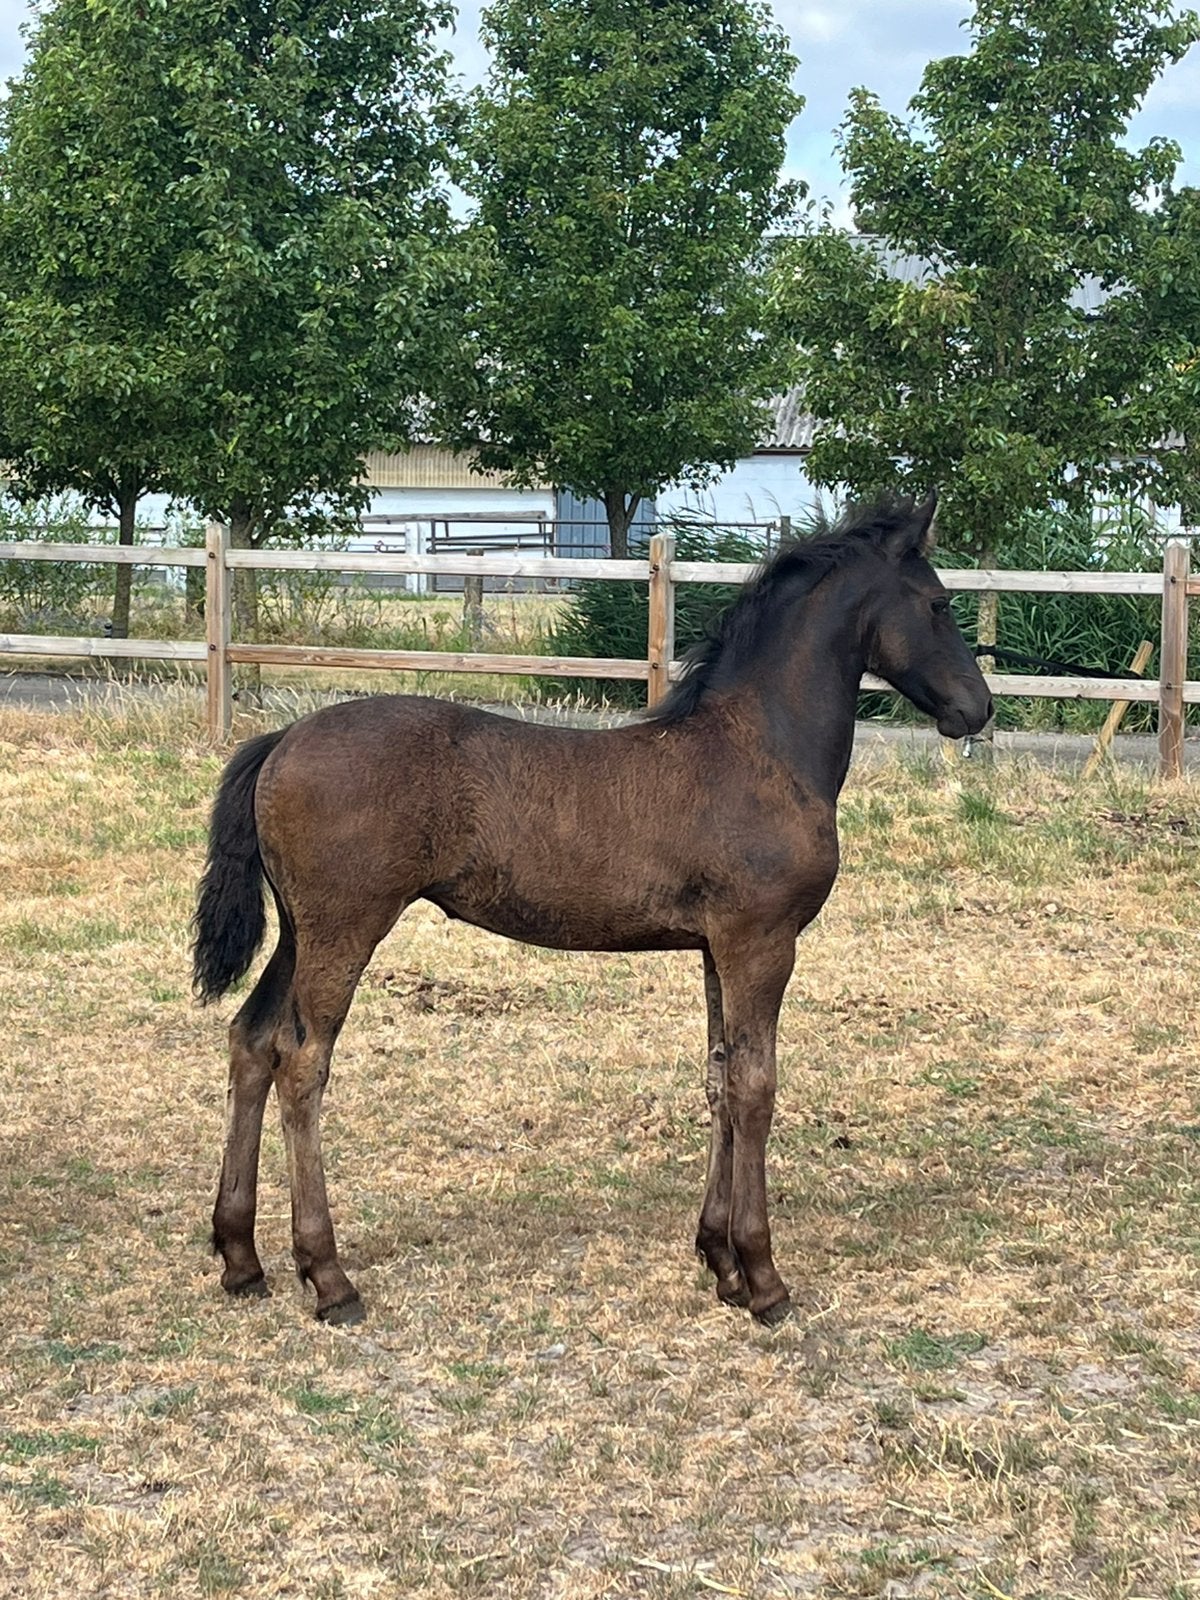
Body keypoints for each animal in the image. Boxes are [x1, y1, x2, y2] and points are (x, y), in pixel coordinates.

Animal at [193, 491, 992, 1327]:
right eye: (938, 603)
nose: (979, 708)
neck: (758, 749)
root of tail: (284, 738)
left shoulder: (717, 948)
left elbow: (719, 1080)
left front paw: (721, 1263)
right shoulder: (762, 943)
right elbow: (756, 1088)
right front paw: (764, 1277)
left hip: (298, 932)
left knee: (250, 1041)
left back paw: (241, 1257)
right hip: (344, 928)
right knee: (301, 1060)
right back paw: (328, 1275)